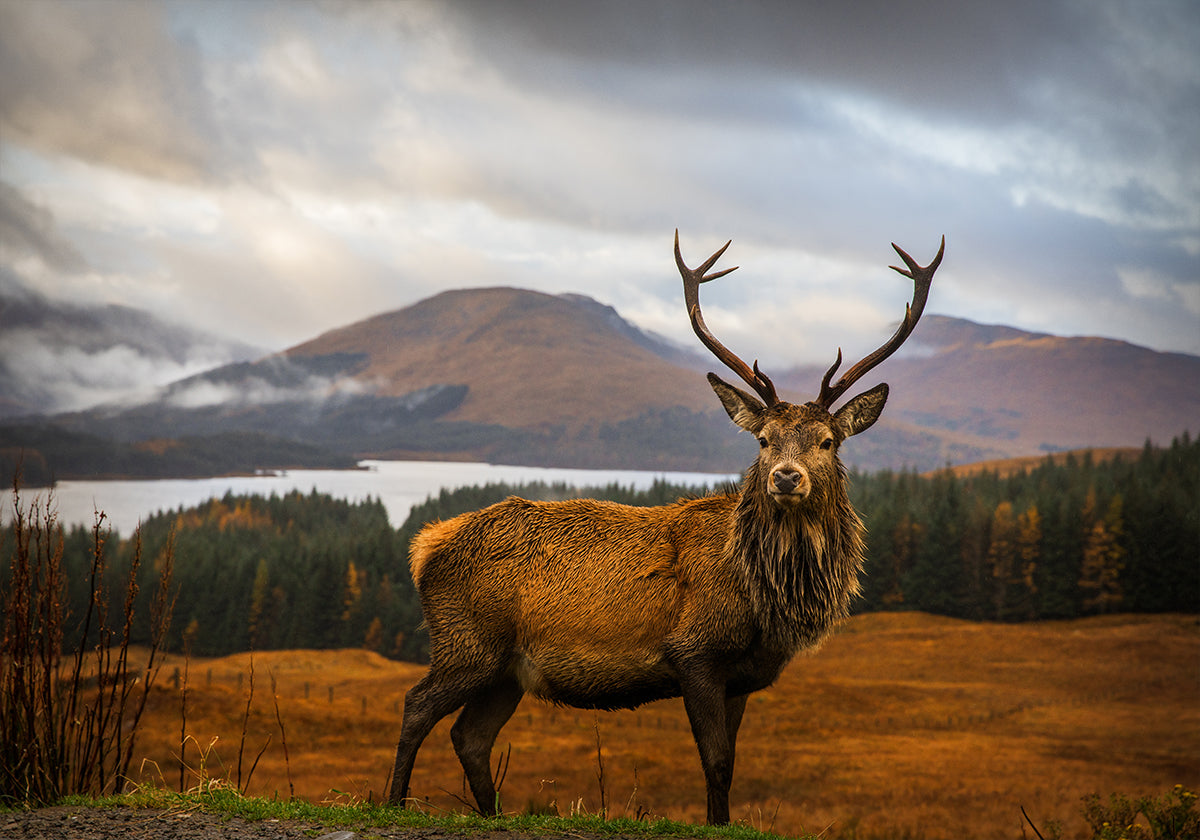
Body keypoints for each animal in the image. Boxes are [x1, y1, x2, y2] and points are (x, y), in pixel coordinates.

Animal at [386, 231, 944, 824]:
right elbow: (715, 762)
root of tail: (425, 545)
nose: (786, 477)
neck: (764, 602)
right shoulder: (693, 652)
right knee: (417, 705)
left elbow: (731, 763)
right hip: (467, 641)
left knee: (470, 736)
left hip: (507, 670)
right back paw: (393, 801)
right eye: (763, 439)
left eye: (828, 441)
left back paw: (491, 813)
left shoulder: (742, 678)